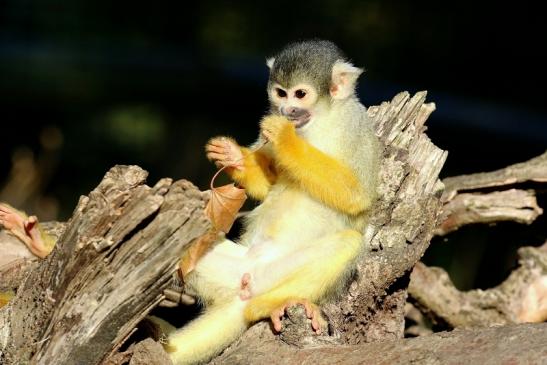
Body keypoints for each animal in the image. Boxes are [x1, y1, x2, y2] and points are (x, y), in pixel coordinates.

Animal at [168, 40, 382, 364]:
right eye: (281, 93)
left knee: (348, 243)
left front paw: (285, 138)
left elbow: (357, 195)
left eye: (300, 94)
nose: (286, 110)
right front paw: (235, 157)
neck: (318, 122)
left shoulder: (356, 126)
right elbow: (267, 187)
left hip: (274, 276)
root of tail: (245, 285)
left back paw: (270, 305)